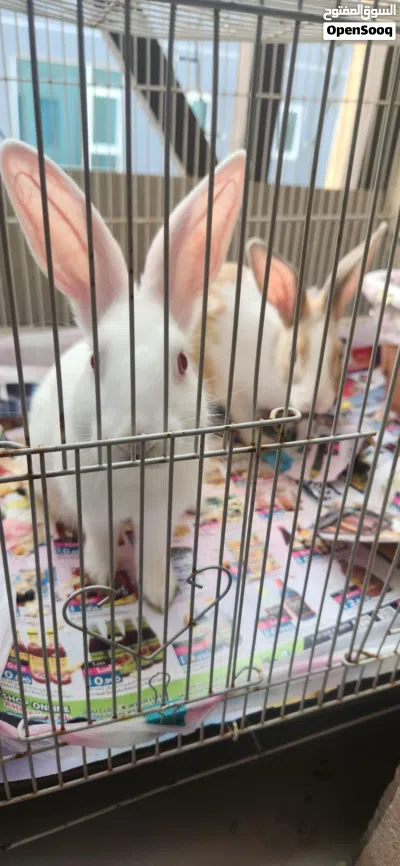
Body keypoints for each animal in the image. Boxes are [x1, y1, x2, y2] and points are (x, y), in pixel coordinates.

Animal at [0, 140, 246, 610]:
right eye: (96, 361)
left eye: (183, 362)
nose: (139, 440)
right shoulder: (93, 504)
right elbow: (99, 537)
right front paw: (98, 577)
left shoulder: (160, 512)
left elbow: (153, 550)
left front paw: (160, 595)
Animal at [190, 222, 387, 445]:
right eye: (292, 355)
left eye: (339, 354)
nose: (318, 402)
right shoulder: (237, 396)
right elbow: (247, 425)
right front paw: (266, 442)